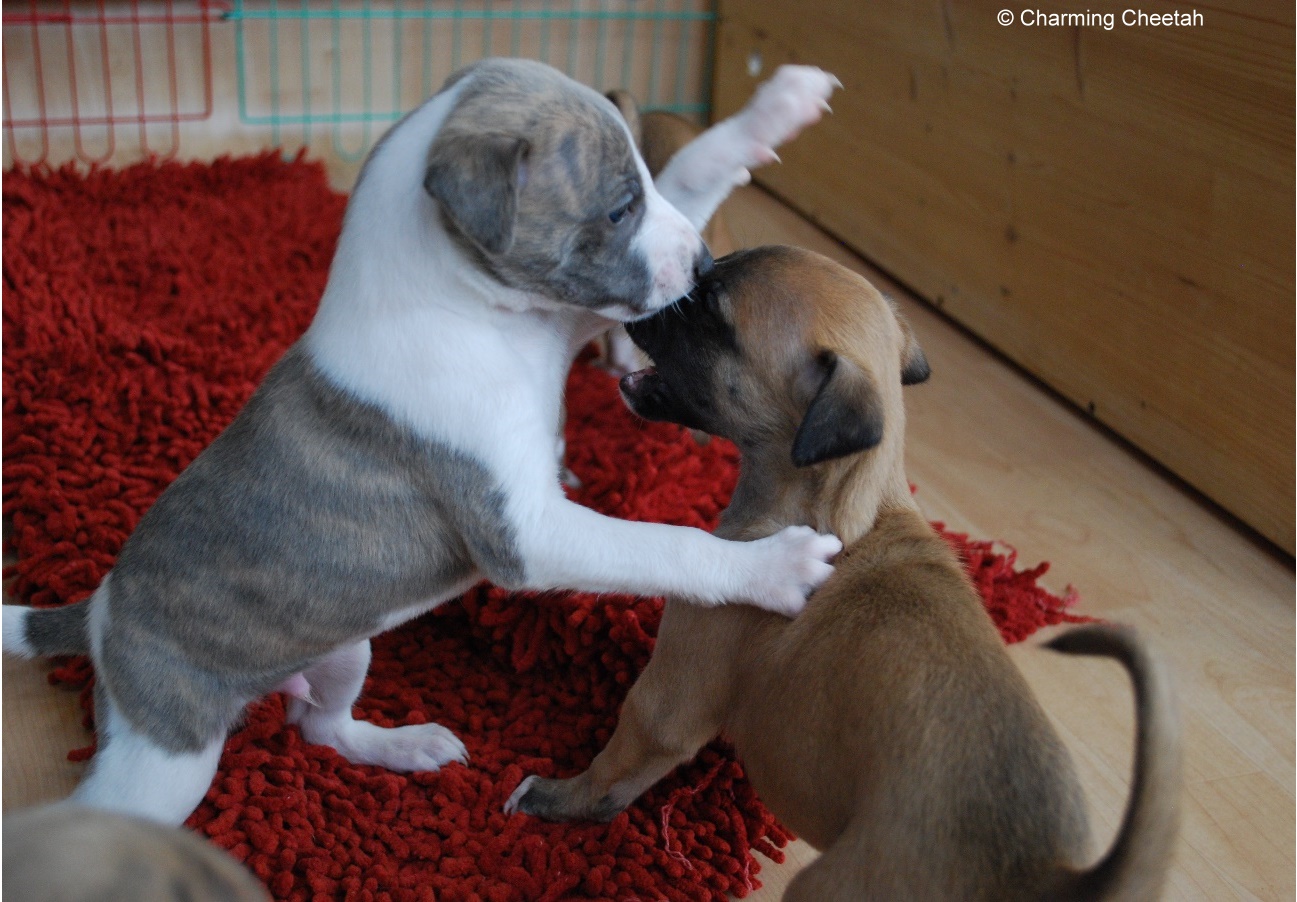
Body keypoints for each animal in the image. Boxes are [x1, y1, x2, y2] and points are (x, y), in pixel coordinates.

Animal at [2, 60, 840, 830]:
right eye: (615, 209)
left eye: (639, 180)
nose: (698, 267)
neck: (465, 308)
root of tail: (101, 612)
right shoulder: (524, 534)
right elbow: (665, 544)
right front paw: (774, 567)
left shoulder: (566, 322)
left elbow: (696, 165)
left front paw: (779, 106)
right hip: (166, 757)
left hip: (345, 647)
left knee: (318, 724)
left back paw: (401, 746)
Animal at [508, 246, 1188, 902]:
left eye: (713, 310)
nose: (657, 280)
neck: (841, 505)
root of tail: (1050, 874)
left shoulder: (669, 699)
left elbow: (608, 778)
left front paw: (548, 798)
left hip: (824, 886)